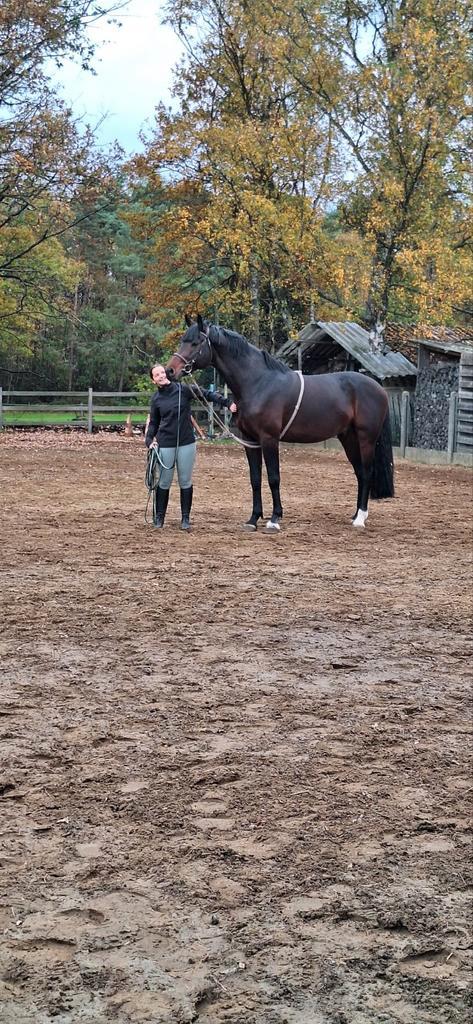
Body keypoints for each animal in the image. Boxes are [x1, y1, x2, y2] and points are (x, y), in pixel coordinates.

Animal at [166, 315, 394, 531]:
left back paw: (360, 519)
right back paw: (355, 516)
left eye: (195, 343)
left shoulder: (269, 439)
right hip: (348, 438)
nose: (170, 371)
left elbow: (274, 478)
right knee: (359, 473)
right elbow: (255, 479)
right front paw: (253, 519)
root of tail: (379, 388)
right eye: (182, 341)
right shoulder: (250, 441)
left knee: (367, 472)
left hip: (366, 438)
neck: (258, 383)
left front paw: (274, 519)